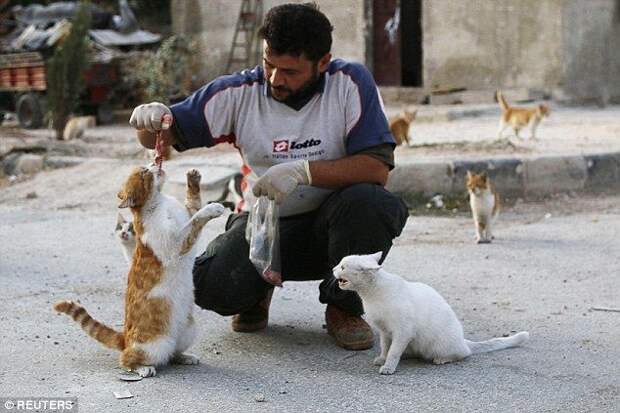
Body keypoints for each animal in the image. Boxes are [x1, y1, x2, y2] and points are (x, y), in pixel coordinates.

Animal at [54, 164, 225, 376]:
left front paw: (193, 179)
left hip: (188, 331)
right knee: (127, 359)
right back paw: (143, 368)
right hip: (155, 345)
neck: (160, 202)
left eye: (147, 166)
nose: (155, 164)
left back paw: (184, 357)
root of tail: (125, 337)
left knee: (172, 354)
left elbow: (193, 205)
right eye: (144, 172)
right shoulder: (176, 243)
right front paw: (212, 208)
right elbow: (196, 219)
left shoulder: (186, 215)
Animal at [332, 253, 532, 374]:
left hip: (439, 345)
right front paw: (382, 359)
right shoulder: (385, 331)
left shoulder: (402, 331)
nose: (333, 269)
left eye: (342, 267)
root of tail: (462, 339)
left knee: (464, 353)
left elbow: (394, 351)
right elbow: (386, 347)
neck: (372, 296)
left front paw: (388, 366)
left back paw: (442, 359)